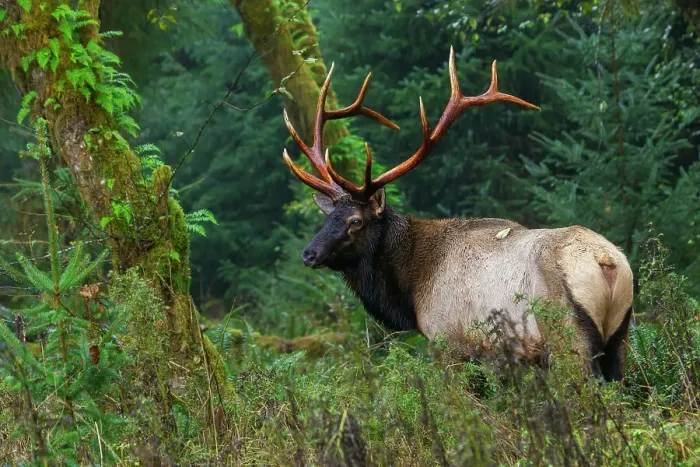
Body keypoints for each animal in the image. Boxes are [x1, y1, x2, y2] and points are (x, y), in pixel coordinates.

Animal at [280, 48, 634, 382]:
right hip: (620, 336)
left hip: (568, 336)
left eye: (355, 221)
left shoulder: (450, 343)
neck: (411, 290)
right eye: (327, 219)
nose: (309, 254)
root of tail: (606, 262)